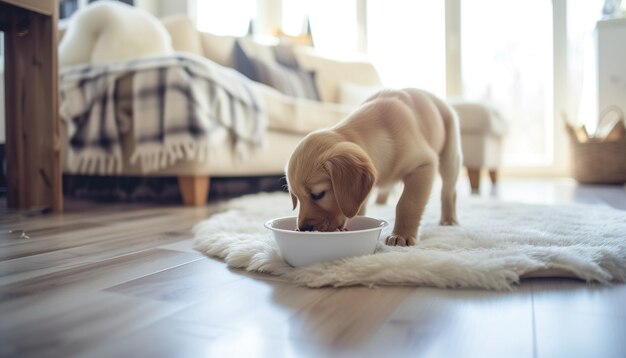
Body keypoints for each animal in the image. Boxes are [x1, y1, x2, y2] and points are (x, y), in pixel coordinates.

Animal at [286, 89, 460, 246]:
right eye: (296, 196)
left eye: (318, 194)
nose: (303, 228)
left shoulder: (423, 164)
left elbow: (407, 203)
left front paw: (401, 235)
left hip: (450, 156)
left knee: (448, 191)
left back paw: (448, 219)